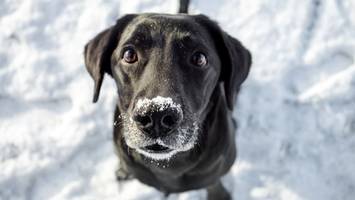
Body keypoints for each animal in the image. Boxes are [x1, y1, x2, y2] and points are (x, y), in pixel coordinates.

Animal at [83, 1, 252, 198]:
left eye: (199, 58)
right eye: (129, 54)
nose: (156, 116)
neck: (168, 166)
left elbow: (213, 183)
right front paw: (123, 171)